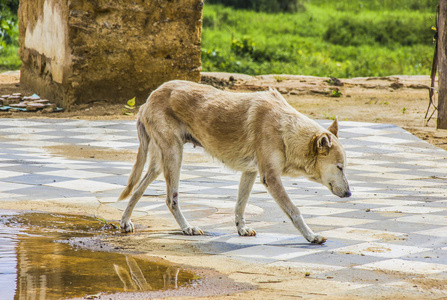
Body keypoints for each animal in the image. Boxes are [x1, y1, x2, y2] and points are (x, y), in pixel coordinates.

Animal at [120, 79, 354, 244]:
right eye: (340, 167)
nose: (350, 193)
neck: (285, 129)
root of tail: (148, 99)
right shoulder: (271, 178)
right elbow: (295, 211)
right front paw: (311, 236)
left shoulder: (250, 172)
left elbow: (240, 205)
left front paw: (241, 229)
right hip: (174, 157)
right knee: (171, 199)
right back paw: (187, 228)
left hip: (160, 164)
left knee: (137, 189)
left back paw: (125, 221)